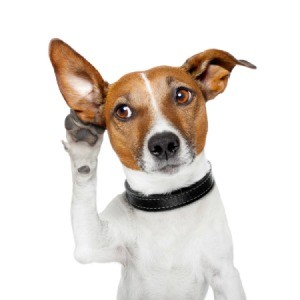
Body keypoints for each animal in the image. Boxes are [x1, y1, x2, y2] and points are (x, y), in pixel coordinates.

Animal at [49, 38, 255, 298]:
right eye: (123, 111)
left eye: (182, 95)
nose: (163, 143)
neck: (168, 200)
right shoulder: (92, 245)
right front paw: (83, 147)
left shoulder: (225, 273)